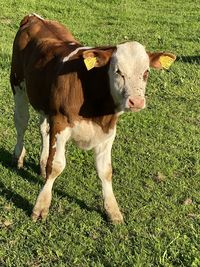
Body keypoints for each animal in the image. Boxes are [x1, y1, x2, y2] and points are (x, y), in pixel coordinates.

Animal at [9, 14, 175, 224]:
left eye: (146, 72)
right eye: (118, 71)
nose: (136, 101)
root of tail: (36, 17)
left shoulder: (108, 130)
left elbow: (106, 171)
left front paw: (113, 211)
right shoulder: (60, 122)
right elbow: (56, 166)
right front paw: (41, 206)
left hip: (44, 101)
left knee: (43, 128)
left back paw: (41, 161)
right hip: (18, 84)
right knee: (21, 122)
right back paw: (18, 156)